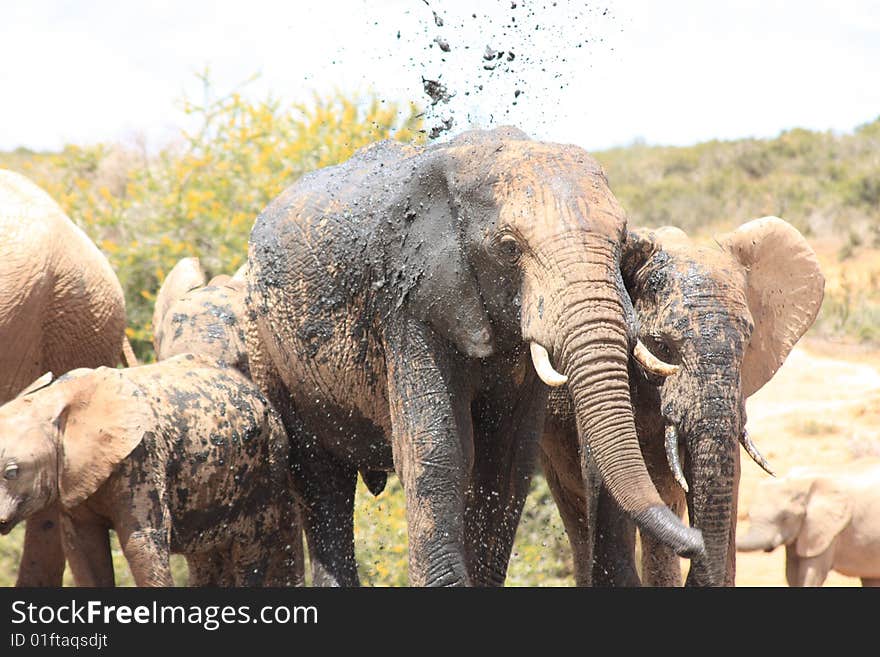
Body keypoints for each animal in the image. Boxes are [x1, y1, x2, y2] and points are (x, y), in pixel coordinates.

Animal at [0, 356, 304, 588]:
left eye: (12, 472)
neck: (54, 398)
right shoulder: (73, 478)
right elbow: (82, 549)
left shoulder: (143, 458)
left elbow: (142, 543)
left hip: (268, 461)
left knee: (250, 548)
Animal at [244, 127, 704, 584]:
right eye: (509, 248)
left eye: (622, 241)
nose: (695, 540)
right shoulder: (409, 302)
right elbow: (436, 450)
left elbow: (507, 460)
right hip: (264, 345)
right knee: (319, 479)